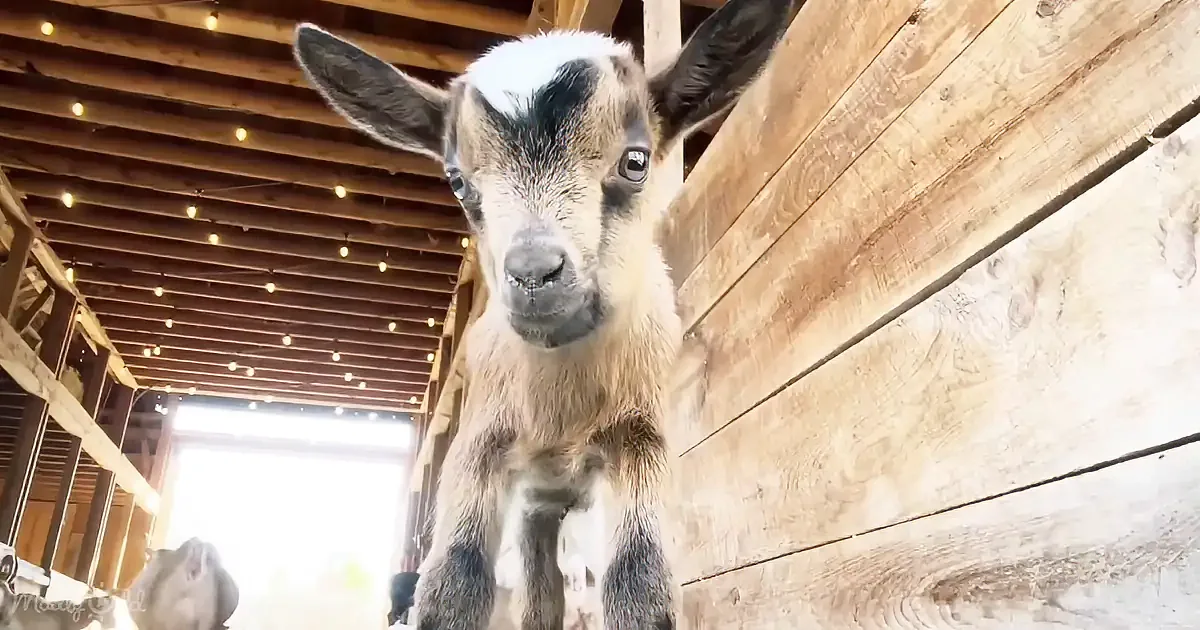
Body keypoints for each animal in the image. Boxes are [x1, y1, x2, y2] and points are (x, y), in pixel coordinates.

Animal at [292, 0, 794, 626]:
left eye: (635, 162)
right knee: (537, 593)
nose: (533, 273)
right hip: (537, 503)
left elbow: (640, 583)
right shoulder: (481, 446)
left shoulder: (640, 438)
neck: (562, 406)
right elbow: (454, 581)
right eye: (458, 182)